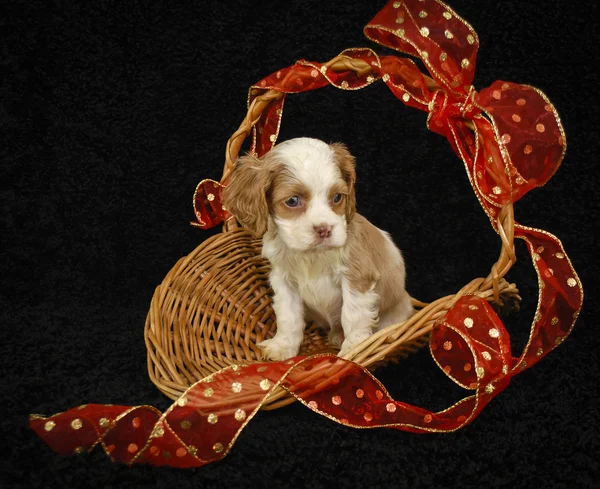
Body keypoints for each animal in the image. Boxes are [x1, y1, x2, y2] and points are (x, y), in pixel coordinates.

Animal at [221, 137, 412, 358]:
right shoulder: (284, 281)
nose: (324, 229)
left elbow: (353, 315)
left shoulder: (357, 277)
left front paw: (353, 350)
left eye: (337, 197)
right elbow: (288, 317)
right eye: (293, 201)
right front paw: (283, 347)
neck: (311, 256)